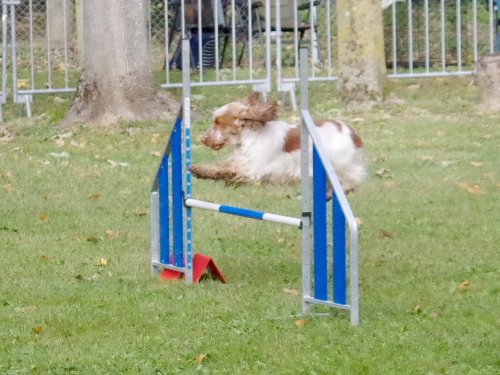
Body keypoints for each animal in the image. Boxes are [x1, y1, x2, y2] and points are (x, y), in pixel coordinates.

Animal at [189, 94, 366, 194]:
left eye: (218, 122)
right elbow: (221, 167)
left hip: (340, 167)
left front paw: (198, 169)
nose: (202, 139)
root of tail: (351, 132)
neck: (251, 136)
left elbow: (224, 171)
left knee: (351, 183)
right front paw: (199, 170)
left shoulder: (254, 170)